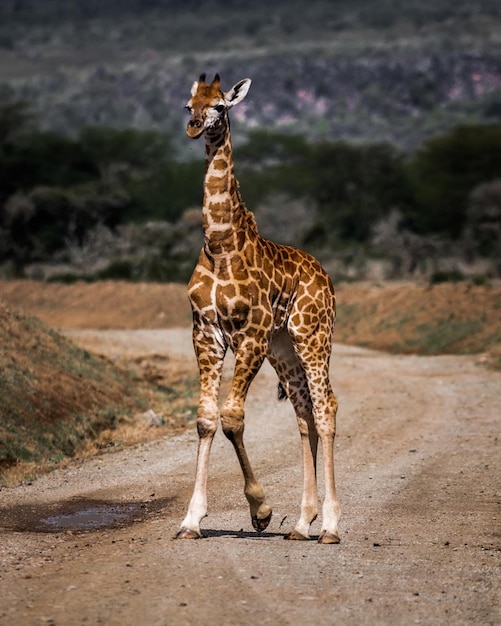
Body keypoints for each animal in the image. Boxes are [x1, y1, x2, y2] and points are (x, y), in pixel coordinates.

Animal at [176, 72, 340, 540]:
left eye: (220, 106)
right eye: (188, 105)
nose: (195, 126)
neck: (220, 244)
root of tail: (326, 277)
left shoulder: (251, 332)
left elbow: (232, 417)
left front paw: (261, 509)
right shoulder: (205, 331)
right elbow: (206, 418)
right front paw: (191, 519)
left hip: (311, 336)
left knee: (326, 407)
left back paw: (331, 524)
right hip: (284, 348)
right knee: (304, 412)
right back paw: (302, 524)